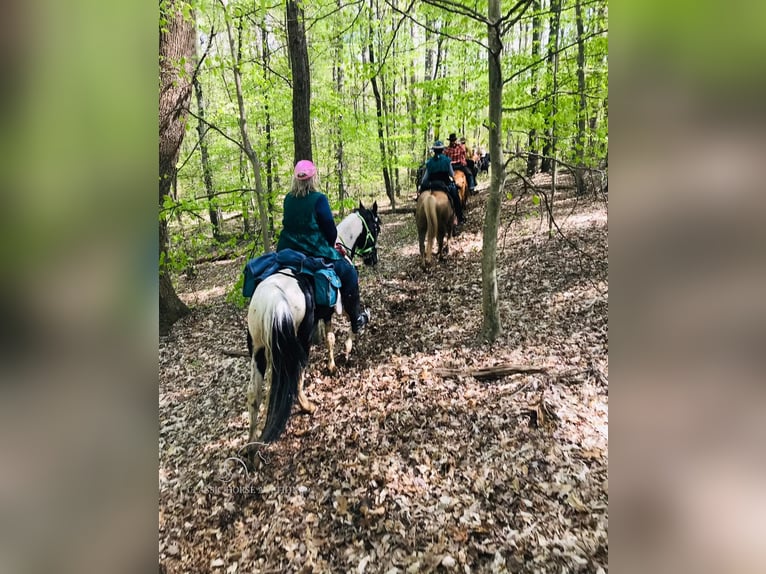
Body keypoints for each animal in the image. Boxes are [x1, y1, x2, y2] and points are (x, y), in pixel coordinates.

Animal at [246, 202, 380, 454]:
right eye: (376, 227)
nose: (373, 260)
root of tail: (275, 296)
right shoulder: (344, 303)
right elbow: (351, 325)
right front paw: (348, 349)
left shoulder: (325, 314)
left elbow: (329, 338)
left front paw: (331, 365)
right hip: (299, 339)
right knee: (296, 373)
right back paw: (307, 406)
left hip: (257, 349)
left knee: (254, 395)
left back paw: (252, 446)